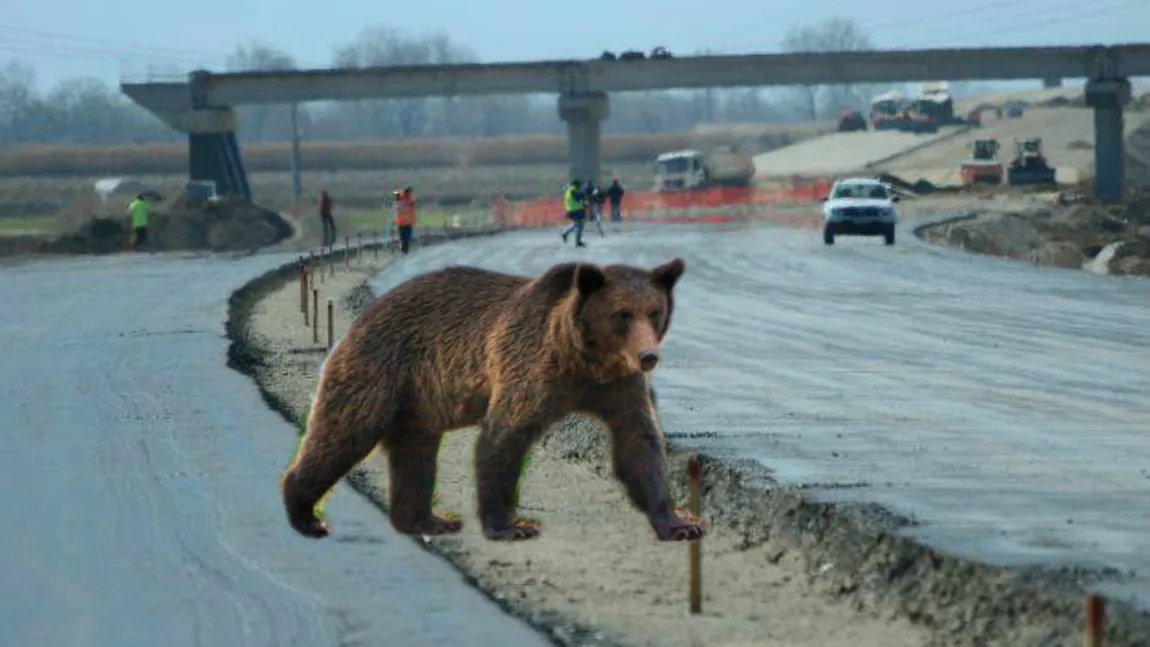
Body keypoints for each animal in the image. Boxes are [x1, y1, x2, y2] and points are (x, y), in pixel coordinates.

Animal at [280, 256, 708, 544]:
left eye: (654, 311)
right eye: (622, 314)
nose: (648, 356)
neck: (582, 358)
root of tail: (364, 316)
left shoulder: (618, 385)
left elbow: (639, 442)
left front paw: (680, 522)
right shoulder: (529, 367)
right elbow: (504, 438)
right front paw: (512, 526)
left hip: (417, 400)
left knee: (414, 454)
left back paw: (428, 520)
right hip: (382, 368)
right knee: (344, 432)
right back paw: (307, 515)